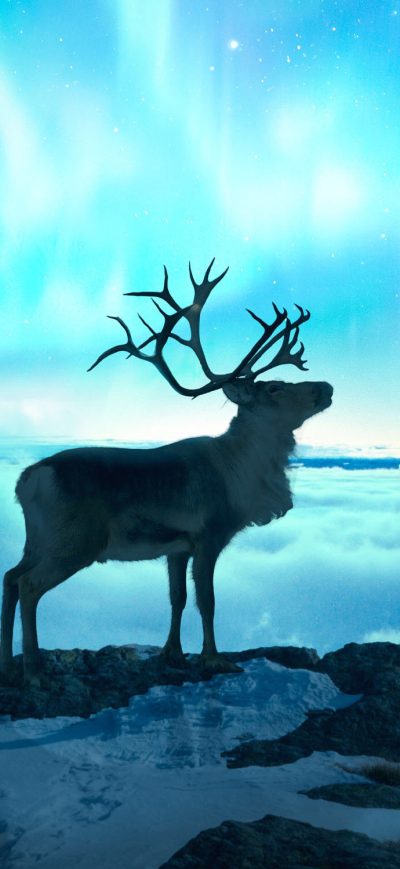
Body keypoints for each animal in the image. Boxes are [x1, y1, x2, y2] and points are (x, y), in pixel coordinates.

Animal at [0, 260, 333, 685]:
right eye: (274, 388)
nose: (326, 387)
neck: (239, 473)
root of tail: (25, 480)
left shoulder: (177, 546)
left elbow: (177, 598)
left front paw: (172, 654)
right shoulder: (209, 534)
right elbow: (207, 600)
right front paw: (214, 659)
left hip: (38, 539)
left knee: (10, 576)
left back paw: (8, 661)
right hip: (74, 541)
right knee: (29, 585)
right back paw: (33, 671)